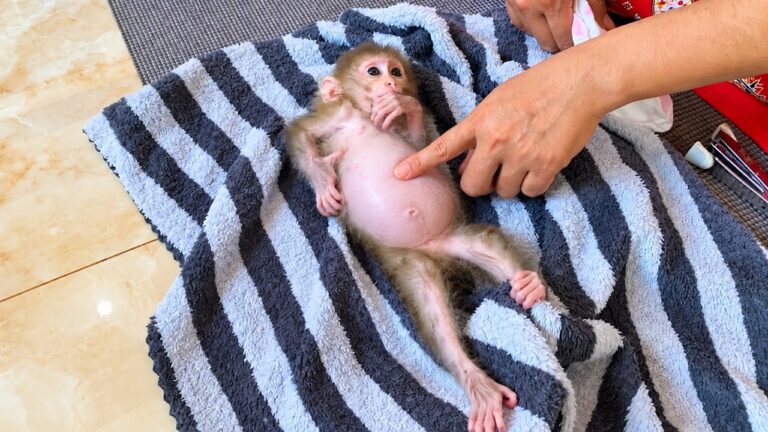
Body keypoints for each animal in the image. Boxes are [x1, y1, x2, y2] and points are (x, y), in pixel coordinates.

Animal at [285, 42, 546, 432]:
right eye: (373, 71)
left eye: (396, 71)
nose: (391, 84)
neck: (366, 117)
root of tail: (433, 250)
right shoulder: (337, 115)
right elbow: (301, 134)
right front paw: (322, 181)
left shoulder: (411, 143)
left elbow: (420, 145)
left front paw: (406, 107)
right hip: (409, 261)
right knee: (430, 307)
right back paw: (477, 382)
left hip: (450, 239)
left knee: (484, 245)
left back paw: (526, 282)